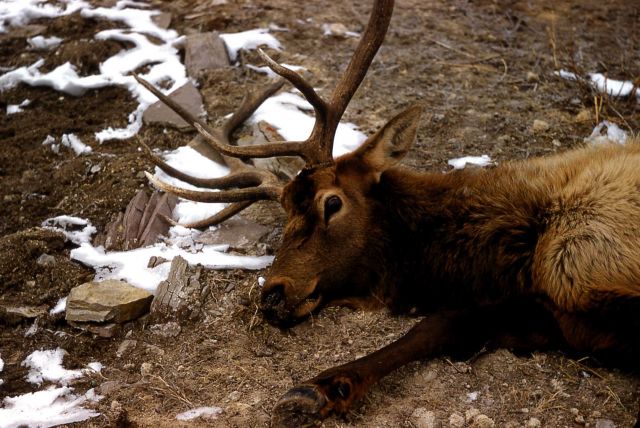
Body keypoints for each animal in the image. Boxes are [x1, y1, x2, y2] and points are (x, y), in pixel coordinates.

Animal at [136, 0, 640, 426]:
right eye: (284, 214)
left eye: (332, 202)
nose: (272, 296)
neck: (517, 251)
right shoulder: (545, 313)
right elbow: (443, 324)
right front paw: (320, 388)